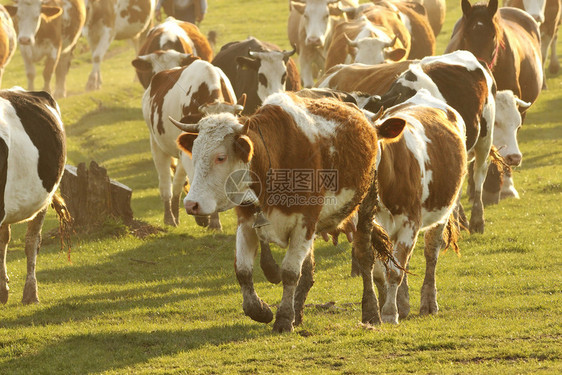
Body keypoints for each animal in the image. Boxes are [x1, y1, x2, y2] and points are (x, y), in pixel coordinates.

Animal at [141, 58, 237, 229]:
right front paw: (208, 219)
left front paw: (213, 220)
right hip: (157, 145)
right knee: (166, 184)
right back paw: (169, 218)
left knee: (178, 183)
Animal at [370, 89, 466, 324]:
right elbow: (381, 269)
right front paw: (386, 308)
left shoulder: (410, 221)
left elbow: (394, 271)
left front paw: (389, 313)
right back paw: (403, 304)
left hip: (444, 210)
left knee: (431, 254)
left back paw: (428, 303)